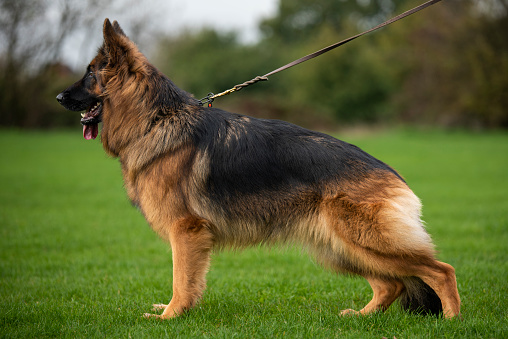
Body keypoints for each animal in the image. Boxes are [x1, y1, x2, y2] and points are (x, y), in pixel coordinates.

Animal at [56, 19, 460, 320]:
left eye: (89, 74)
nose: (58, 96)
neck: (156, 119)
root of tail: (393, 175)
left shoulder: (185, 231)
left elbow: (180, 280)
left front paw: (170, 316)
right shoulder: (191, 237)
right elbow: (188, 281)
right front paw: (176, 312)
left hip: (363, 241)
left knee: (441, 271)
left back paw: (452, 321)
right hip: (340, 246)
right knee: (392, 283)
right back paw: (362, 317)